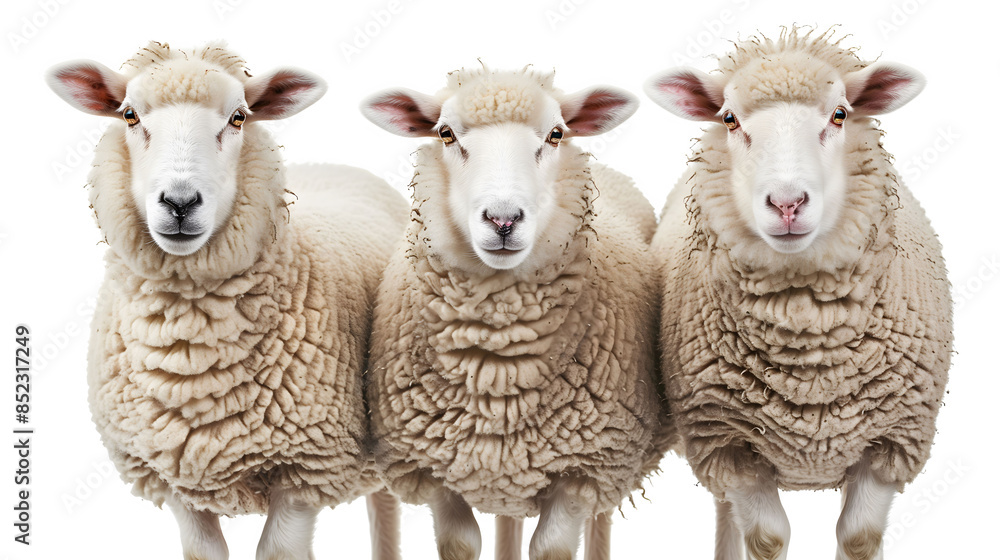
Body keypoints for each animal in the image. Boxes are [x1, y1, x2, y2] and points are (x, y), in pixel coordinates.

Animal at [45, 41, 408, 560]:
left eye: (238, 117)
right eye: (130, 115)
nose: (179, 203)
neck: (191, 360)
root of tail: (336, 166)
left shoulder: (305, 470)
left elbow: (280, 553)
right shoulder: (176, 480)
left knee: (385, 508)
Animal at [360, 65, 668, 560]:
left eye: (556, 133)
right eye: (445, 133)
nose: (503, 220)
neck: (496, 364)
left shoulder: (584, 470)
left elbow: (552, 549)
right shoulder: (436, 473)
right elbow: (460, 545)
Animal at [644, 27, 952, 560]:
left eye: (840, 114)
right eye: (729, 119)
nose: (787, 203)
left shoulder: (889, 442)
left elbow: (860, 538)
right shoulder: (730, 445)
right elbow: (767, 539)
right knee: (727, 514)